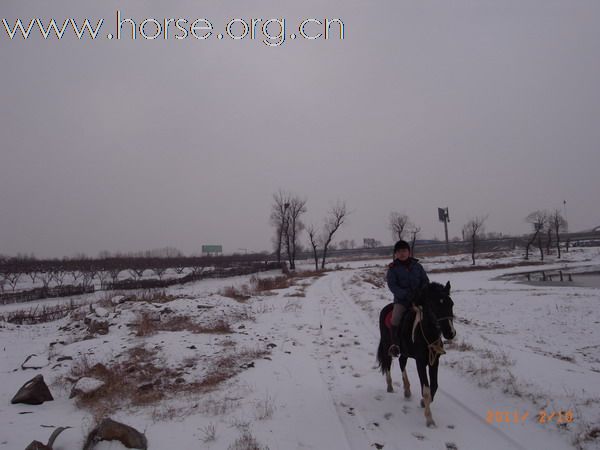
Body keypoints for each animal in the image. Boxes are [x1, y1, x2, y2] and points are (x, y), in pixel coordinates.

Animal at [378, 284, 458, 428]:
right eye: (434, 305)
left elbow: (434, 386)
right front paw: (429, 419)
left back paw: (407, 390)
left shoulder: (434, 361)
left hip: (404, 352)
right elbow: (426, 390)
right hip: (388, 345)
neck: (427, 333)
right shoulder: (420, 362)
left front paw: (422, 403)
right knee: (388, 364)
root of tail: (387, 307)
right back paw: (390, 386)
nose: (450, 333)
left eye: (451, 304)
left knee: (402, 362)